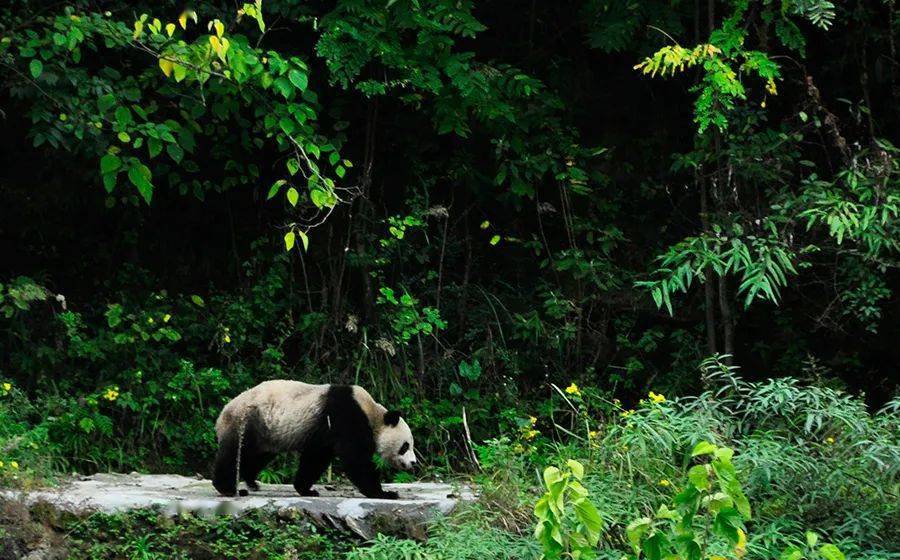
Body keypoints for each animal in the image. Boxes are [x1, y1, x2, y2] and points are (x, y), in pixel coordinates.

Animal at [211, 380, 418, 498]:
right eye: (405, 446)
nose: (414, 463)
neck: (371, 412)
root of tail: (222, 415)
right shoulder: (346, 416)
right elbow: (356, 459)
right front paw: (385, 493)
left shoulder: (325, 433)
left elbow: (315, 457)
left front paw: (306, 489)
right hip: (248, 421)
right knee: (234, 453)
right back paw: (228, 488)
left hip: (266, 432)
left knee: (257, 456)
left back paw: (251, 481)